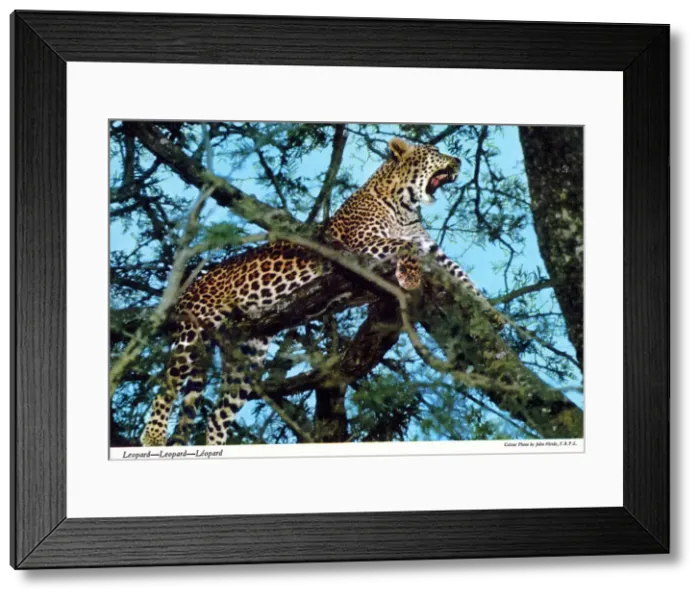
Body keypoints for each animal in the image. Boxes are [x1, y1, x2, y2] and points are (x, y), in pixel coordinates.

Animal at [139, 137, 486, 447]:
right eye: (434, 151)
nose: (458, 161)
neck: (405, 207)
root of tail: (196, 282)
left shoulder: (435, 253)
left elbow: (461, 276)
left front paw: (488, 315)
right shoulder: (361, 247)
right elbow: (405, 245)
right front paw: (410, 275)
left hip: (247, 359)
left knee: (216, 415)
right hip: (194, 330)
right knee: (168, 382)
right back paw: (153, 435)